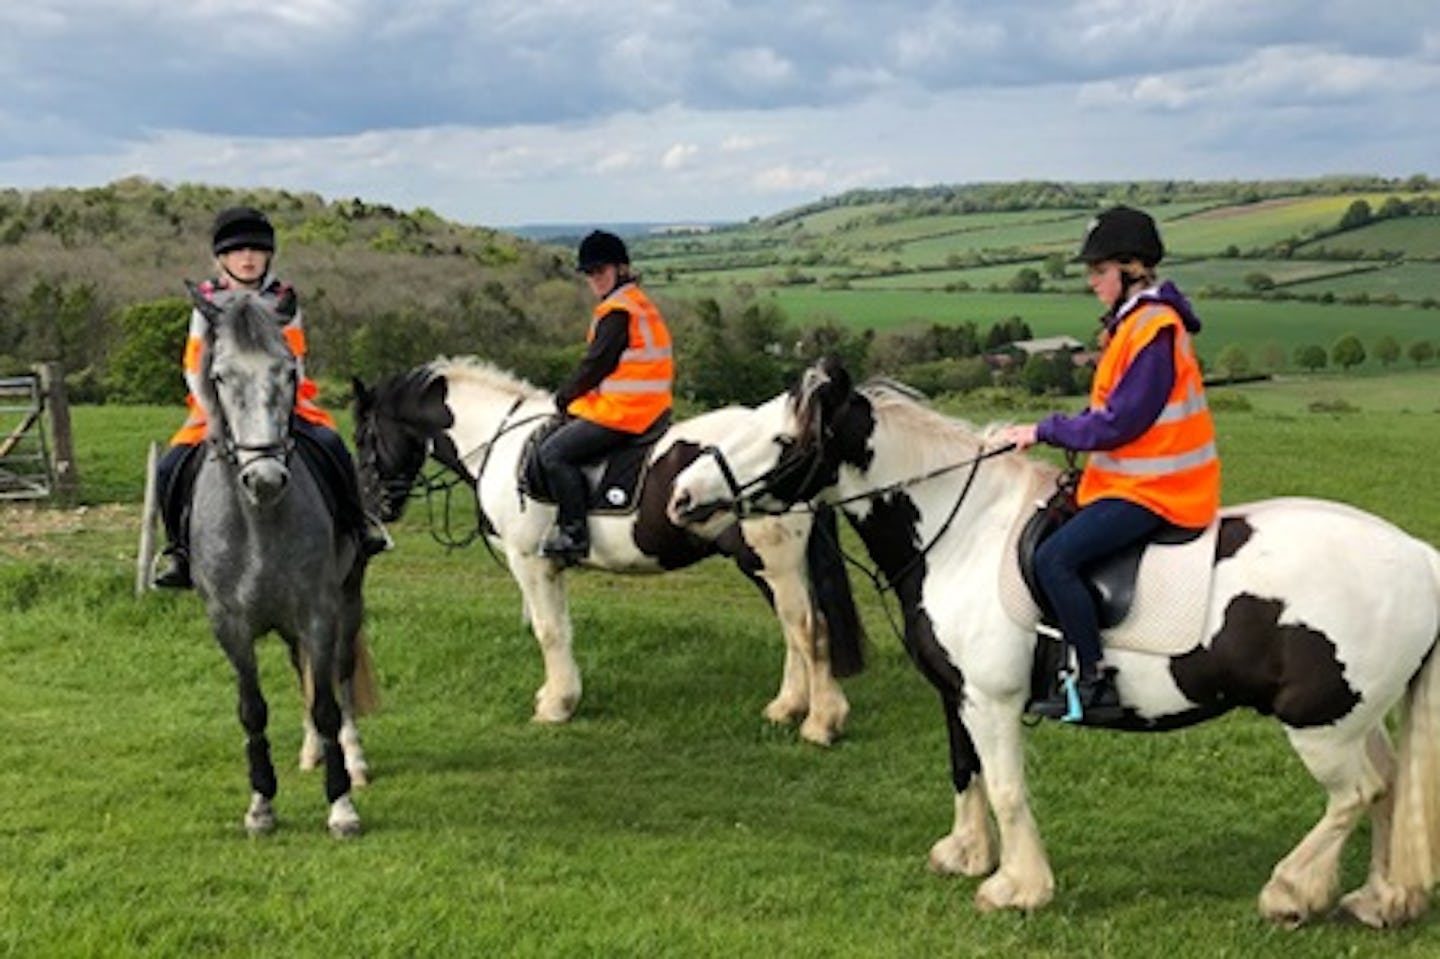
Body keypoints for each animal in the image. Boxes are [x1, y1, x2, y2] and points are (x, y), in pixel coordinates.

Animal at [185, 282, 374, 835]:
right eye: (220, 376)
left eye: (289, 372)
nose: (265, 479)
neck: (259, 523)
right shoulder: (229, 624)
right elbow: (253, 710)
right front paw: (261, 805)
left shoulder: (319, 612)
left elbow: (329, 704)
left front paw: (341, 804)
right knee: (302, 671)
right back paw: (312, 752)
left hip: (347, 603)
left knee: (338, 676)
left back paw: (352, 758)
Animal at [668, 354, 1440, 921]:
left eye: (783, 440)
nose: (680, 496)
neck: (962, 531)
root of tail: (1419, 557)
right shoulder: (956, 696)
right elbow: (966, 771)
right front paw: (965, 854)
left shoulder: (992, 699)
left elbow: (1008, 788)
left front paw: (1017, 888)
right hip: (1352, 715)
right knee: (1390, 787)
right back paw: (1379, 899)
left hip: (1319, 725)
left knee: (1360, 791)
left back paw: (1290, 891)